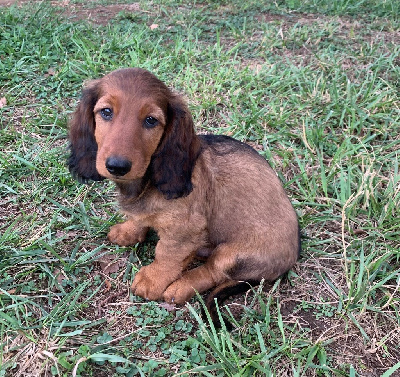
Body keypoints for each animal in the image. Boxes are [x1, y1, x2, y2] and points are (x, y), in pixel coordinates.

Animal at [69, 68, 300, 326]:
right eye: (106, 112)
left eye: (151, 120)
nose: (117, 166)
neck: (147, 182)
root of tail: (292, 255)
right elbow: (140, 219)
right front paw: (128, 231)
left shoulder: (185, 229)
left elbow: (166, 254)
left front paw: (152, 280)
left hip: (233, 254)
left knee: (212, 272)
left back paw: (181, 286)